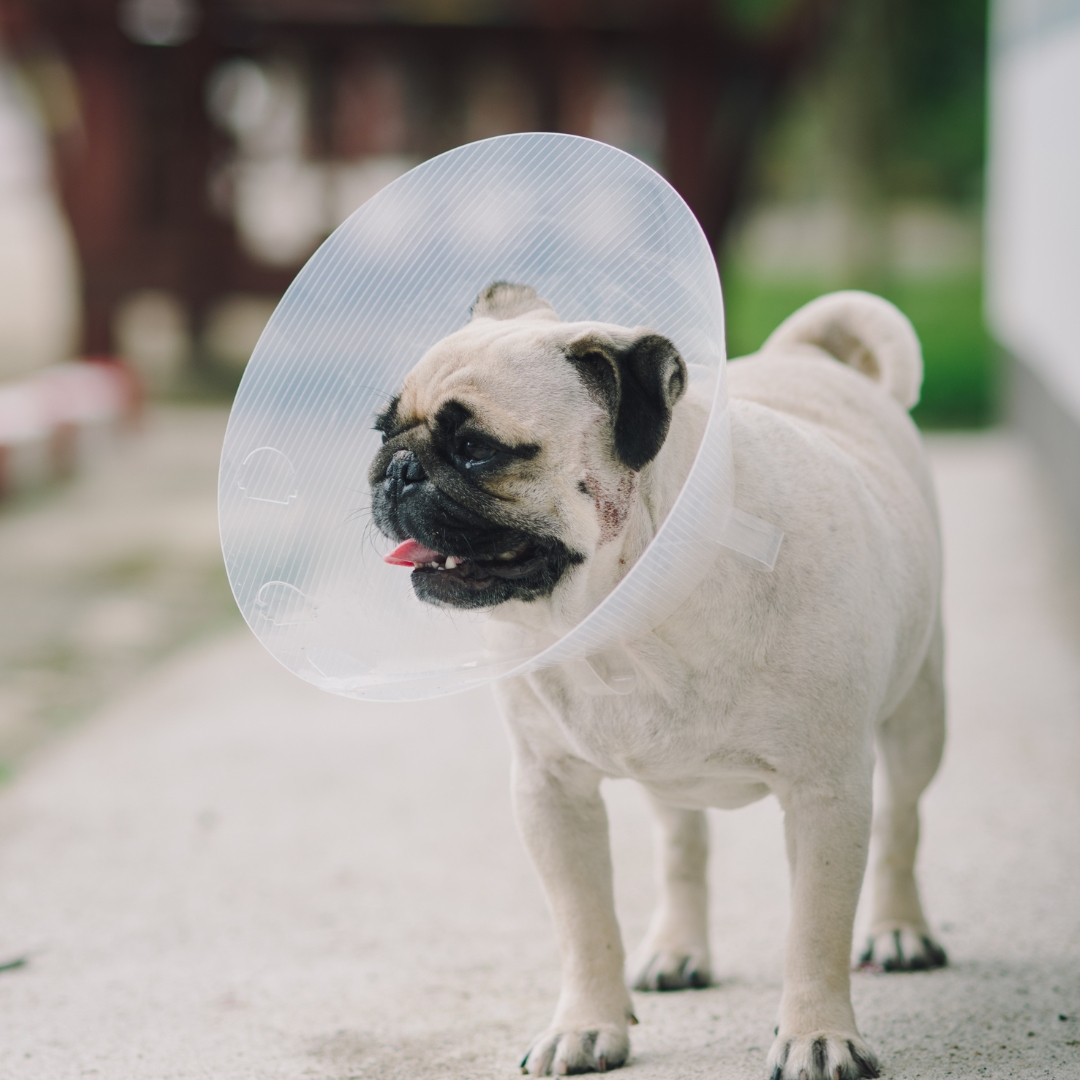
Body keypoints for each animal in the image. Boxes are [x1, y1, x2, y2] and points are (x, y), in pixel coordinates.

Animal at [369, 285, 946, 1080]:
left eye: (477, 450)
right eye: (380, 431)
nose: (395, 468)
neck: (633, 613)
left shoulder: (826, 792)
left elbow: (815, 929)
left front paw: (818, 1034)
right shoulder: (550, 792)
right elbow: (584, 925)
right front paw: (586, 1025)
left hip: (920, 713)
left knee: (902, 820)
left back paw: (898, 931)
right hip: (667, 775)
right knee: (682, 846)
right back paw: (676, 950)